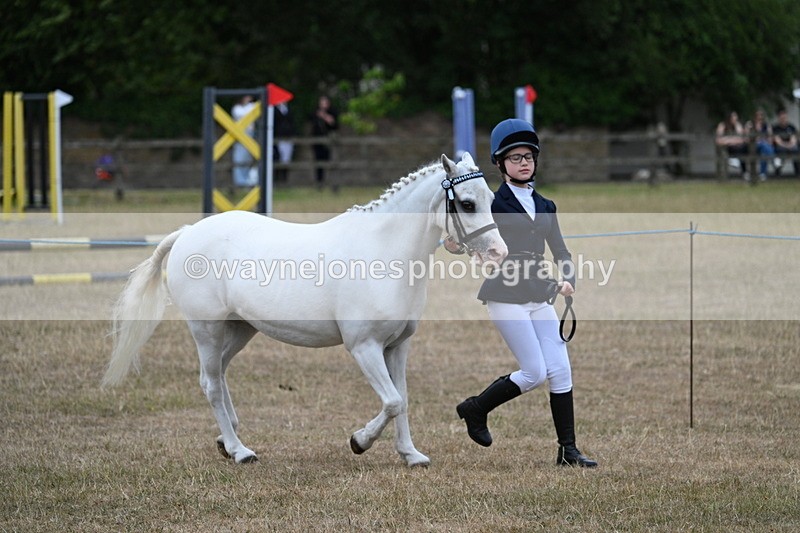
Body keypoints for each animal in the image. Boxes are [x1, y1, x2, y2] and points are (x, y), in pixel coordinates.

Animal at [102, 152, 507, 467]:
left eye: (490, 198)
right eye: (467, 203)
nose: (497, 253)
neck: (385, 253)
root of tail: (187, 232)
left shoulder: (397, 346)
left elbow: (402, 399)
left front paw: (411, 455)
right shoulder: (364, 347)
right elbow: (391, 401)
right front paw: (359, 441)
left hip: (240, 329)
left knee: (217, 374)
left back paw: (226, 439)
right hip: (207, 329)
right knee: (211, 384)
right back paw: (239, 450)